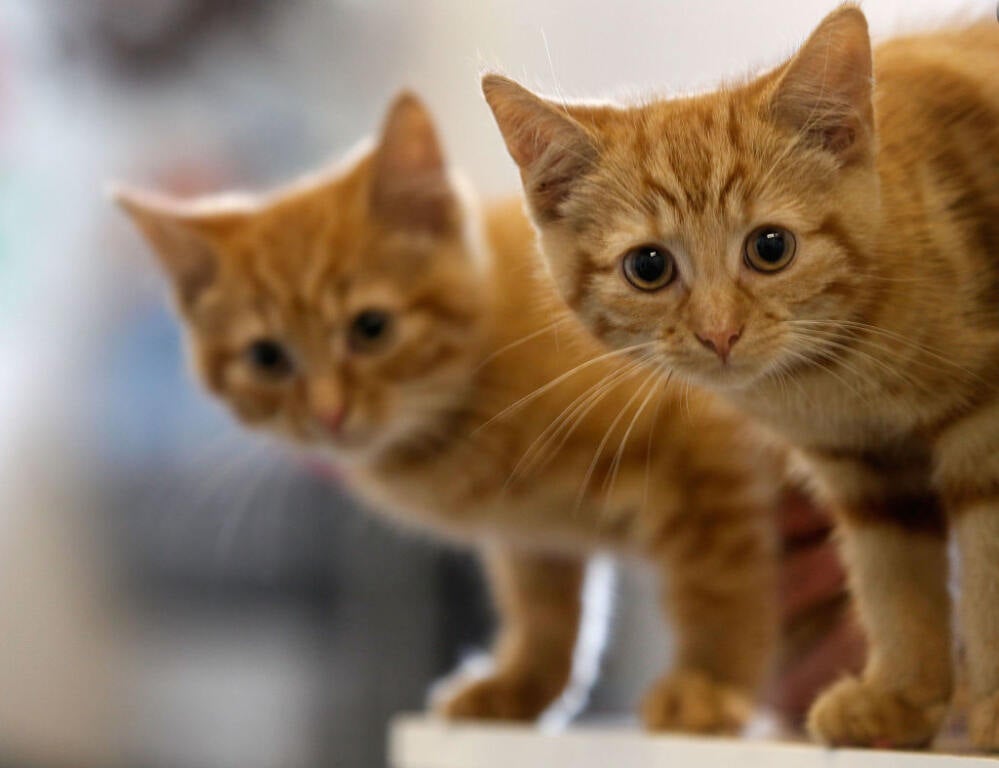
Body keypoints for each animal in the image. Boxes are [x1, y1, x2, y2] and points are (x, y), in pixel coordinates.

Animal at [480, 4, 996, 752]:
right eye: (648, 267)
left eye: (770, 247)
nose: (719, 332)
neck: (837, 373)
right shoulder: (865, 470)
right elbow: (893, 582)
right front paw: (900, 698)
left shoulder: (984, 435)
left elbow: (987, 577)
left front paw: (992, 711)